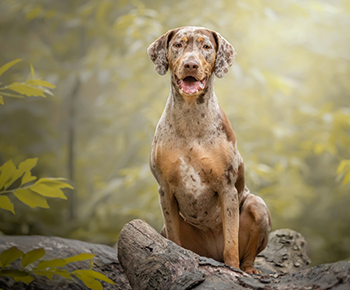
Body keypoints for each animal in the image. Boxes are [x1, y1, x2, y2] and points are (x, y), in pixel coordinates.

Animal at [146, 26, 272, 274]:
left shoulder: (227, 188)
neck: (190, 117)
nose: (191, 64)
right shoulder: (165, 189)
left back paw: (248, 269)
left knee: (247, 253)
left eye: (206, 46)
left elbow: (231, 243)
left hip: (257, 205)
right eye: (178, 44)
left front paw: (232, 268)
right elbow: (174, 236)